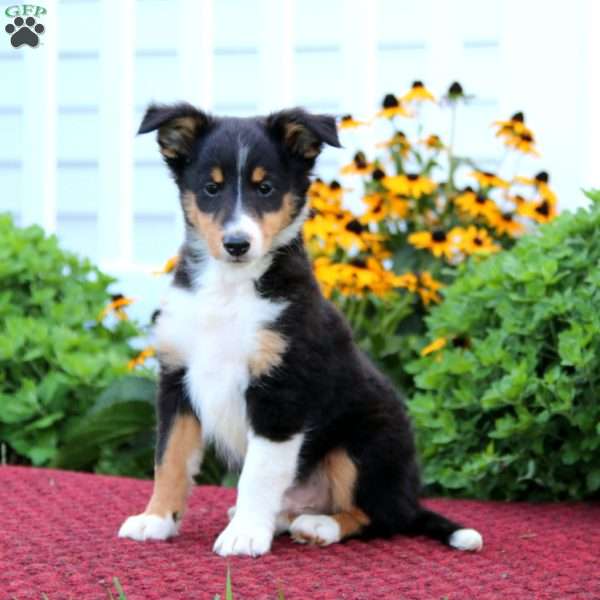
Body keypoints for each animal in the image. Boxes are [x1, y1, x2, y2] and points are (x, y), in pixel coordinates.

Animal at [117, 104, 482, 556]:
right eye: (211, 188)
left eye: (266, 188)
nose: (237, 244)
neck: (229, 289)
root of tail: (411, 498)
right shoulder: (177, 379)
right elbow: (169, 459)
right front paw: (155, 519)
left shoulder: (281, 390)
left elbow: (257, 473)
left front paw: (243, 536)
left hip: (364, 442)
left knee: (382, 516)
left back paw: (318, 525)